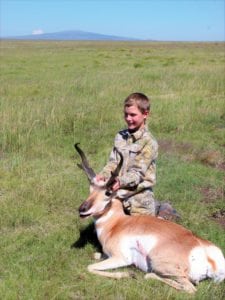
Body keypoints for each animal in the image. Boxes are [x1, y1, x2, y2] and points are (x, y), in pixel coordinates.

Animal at [75, 143, 225, 292]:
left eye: (108, 192)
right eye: (90, 189)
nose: (82, 209)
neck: (117, 224)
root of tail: (210, 258)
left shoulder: (120, 258)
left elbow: (89, 267)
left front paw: (127, 274)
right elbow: (94, 256)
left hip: (158, 262)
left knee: (189, 288)